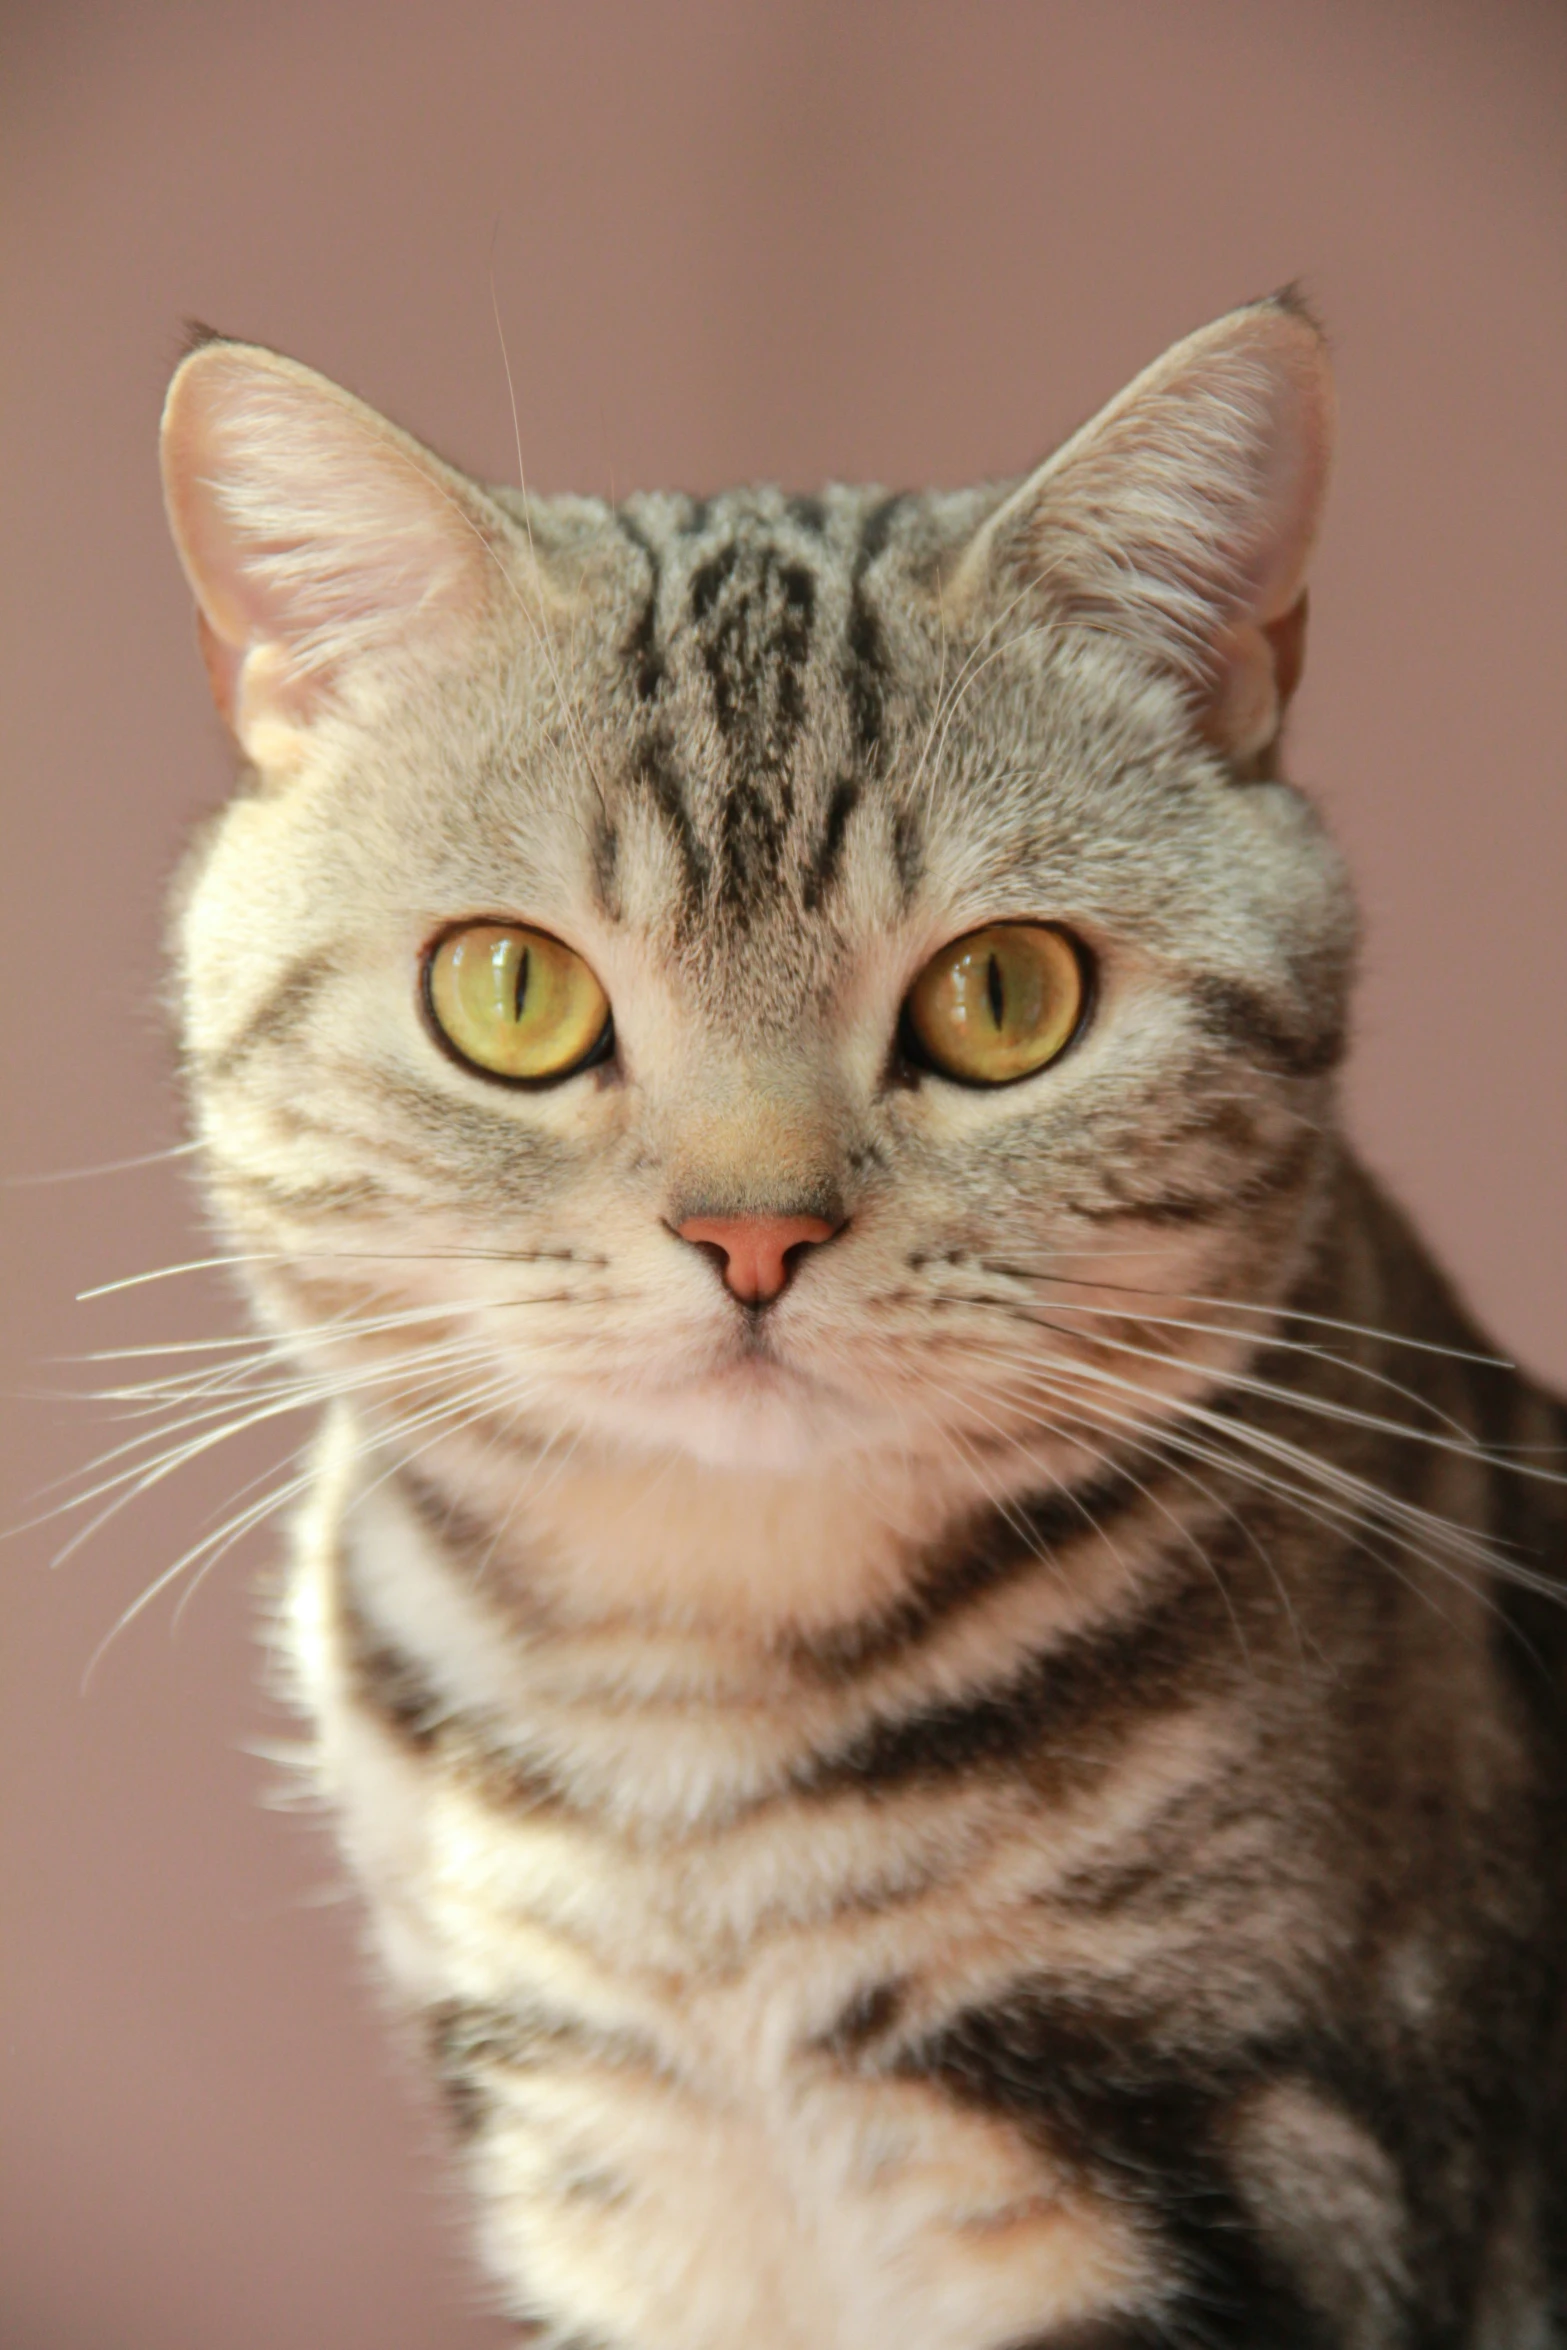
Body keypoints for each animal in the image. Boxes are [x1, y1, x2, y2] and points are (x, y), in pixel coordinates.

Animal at [156, 298, 1567, 2350]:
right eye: (510, 991)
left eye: (1003, 996)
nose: (752, 1229)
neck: (687, 1748)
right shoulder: (602, 2163)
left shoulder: (1265, 2159)